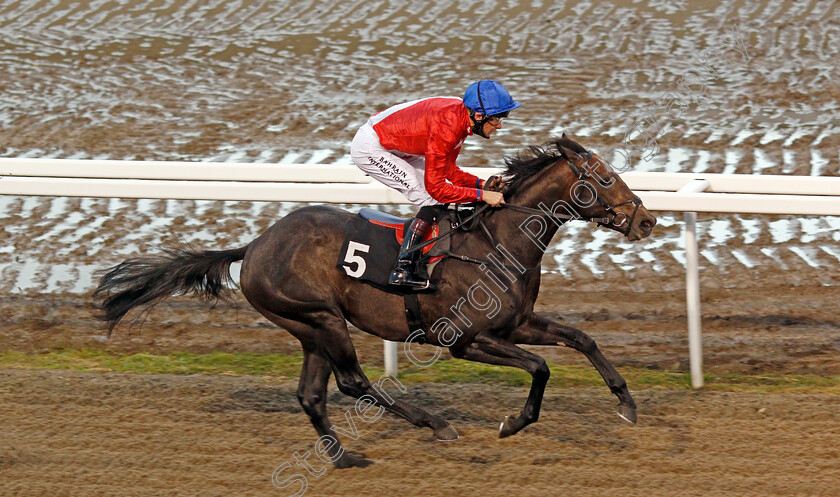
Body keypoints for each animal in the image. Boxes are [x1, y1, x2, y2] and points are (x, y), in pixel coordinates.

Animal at [93, 135, 656, 464]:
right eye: (606, 178)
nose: (647, 220)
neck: (496, 241)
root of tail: (253, 247)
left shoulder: (515, 324)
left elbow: (582, 338)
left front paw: (626, 404)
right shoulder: (464, 341)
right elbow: (540, 366)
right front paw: (513, 423)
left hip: (309, 328)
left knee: (312, 393)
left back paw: (343, 457)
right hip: (320, 318)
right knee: (352, 383)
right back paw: (435, 424)